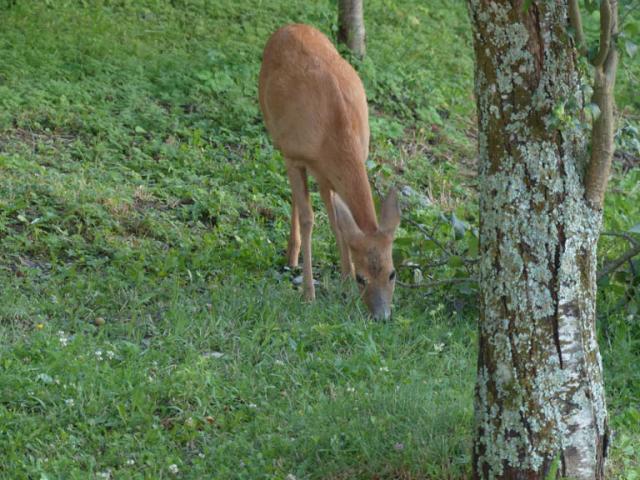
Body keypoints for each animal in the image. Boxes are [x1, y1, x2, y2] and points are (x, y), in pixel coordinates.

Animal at [258, 25, 400, 318]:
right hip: (278, 135)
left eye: (392, 273)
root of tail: (289, 26)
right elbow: (310, 219)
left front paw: (344, 280)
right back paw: (292, 256)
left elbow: (338, 222)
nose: (382, 315)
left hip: (319, 172)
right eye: (362, 278)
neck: (336, 126)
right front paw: (309, 294)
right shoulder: (296, 156)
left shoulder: (331, 169)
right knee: (299, 200)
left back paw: (292, 255)